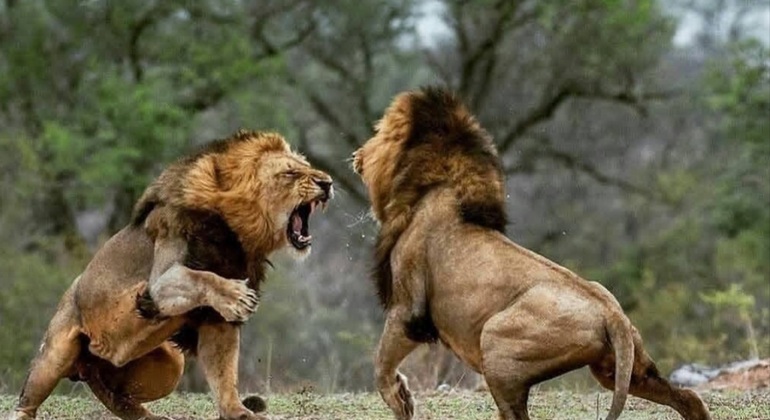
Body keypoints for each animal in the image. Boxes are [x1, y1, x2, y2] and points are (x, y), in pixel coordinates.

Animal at [10, 130, 332, 418]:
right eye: (290, 173)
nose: (327, 182)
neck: (240, 236)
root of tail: (90, 366)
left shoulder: (215, 321)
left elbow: (224, 373)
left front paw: (239, 412)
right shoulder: (160, 280)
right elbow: (200, 278)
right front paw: (237, 296)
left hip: (170, 365)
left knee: (119, 397)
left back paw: (149, 416)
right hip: (54, 353)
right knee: (29, 399)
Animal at [352, 86, 712, 420]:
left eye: (379, 132)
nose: (356, 154)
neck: (436, 185)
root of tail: (613, 314)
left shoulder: (408, 309)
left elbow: (381, 365)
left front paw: (402, 401)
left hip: (496, 344)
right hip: (622, 369)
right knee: (688, 397)